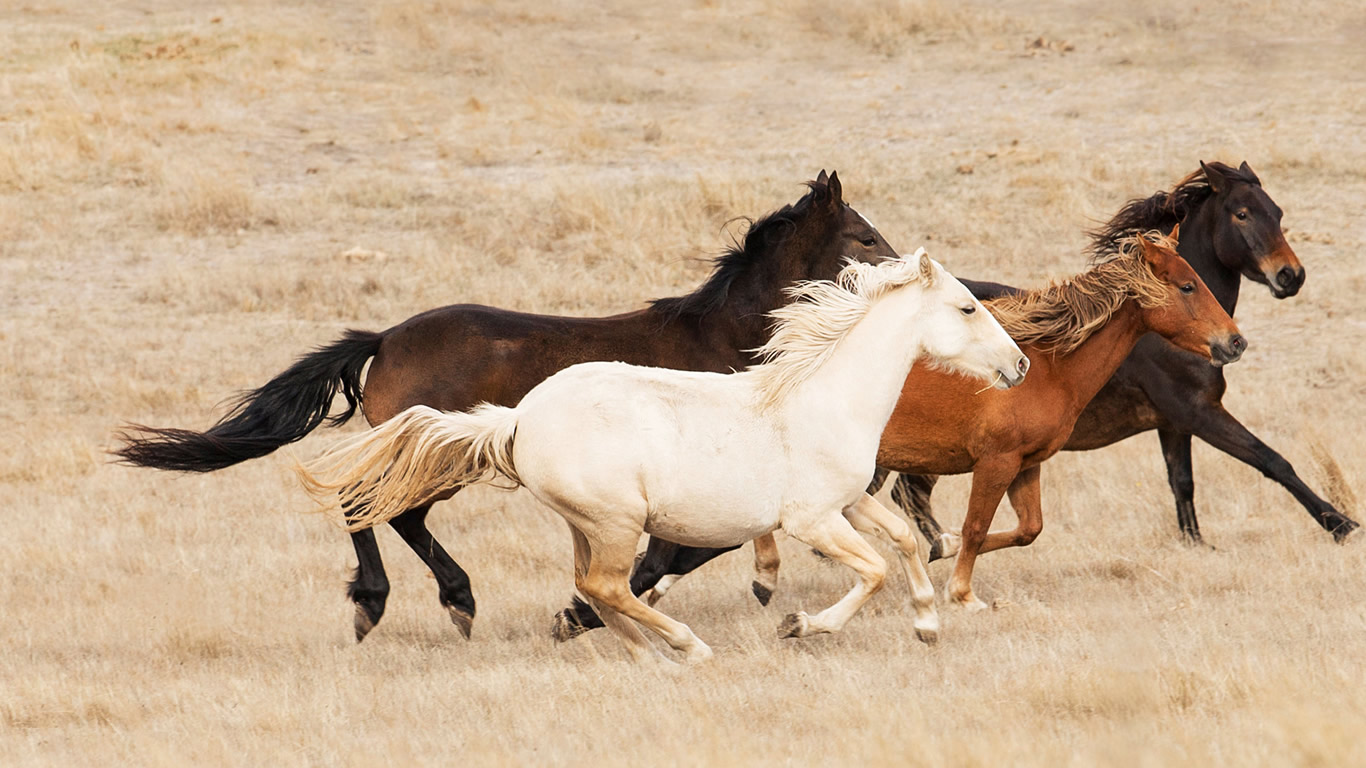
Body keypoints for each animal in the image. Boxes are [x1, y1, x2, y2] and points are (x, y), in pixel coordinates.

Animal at [113, 172, 904, 642]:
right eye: (864, 236)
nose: (911, 272)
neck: (727, 337)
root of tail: (385, 338)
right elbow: (683, 549)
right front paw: (582, 613)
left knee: (391, 512)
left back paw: (437, 602)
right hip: (437, 457)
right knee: (370, 505)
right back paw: (394, 603)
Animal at [295, 251, 1030, 663]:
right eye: (967, 307)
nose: (1020, 365)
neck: (823, 396)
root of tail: (519, 417)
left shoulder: (850, 502)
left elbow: (904, 541)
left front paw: (928, 623)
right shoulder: (812, 520)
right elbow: (874, 570)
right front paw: (799, 624)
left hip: (588, 525)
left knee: (597, 587)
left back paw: (645, 651)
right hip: (617, 523)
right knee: (607, 586)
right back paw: (685, 646)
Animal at [573, 160, 1360, 631]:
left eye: (1278, 210)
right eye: (1190, 284)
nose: (1234, 344)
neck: (1046, 362)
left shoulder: (1036, 463)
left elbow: (1034, 527)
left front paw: (940, 557)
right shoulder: (1006, 459)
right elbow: (981, 531)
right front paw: (960, 591)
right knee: (676, 550)